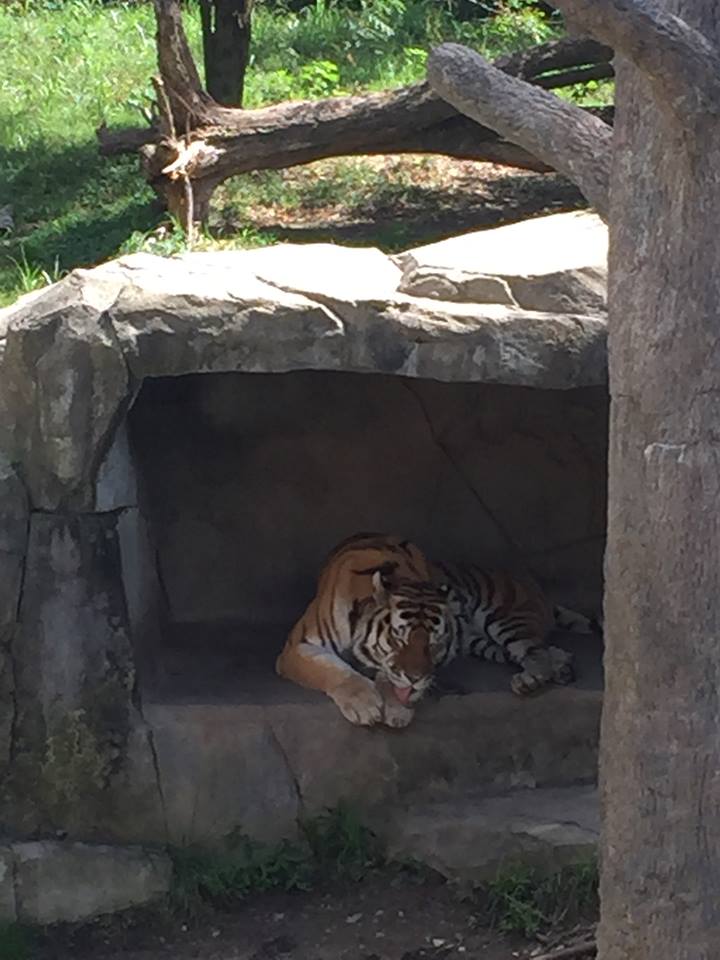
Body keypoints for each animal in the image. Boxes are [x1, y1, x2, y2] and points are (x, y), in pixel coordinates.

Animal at [276, 533, 454, 728]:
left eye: (434, 644)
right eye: (398, 639)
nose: (415, 679)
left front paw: (397, 708)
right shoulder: (297, 646)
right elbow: (332, 668)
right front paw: (364, 704)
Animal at [431, 560, 602, 696]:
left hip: (504, 619)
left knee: (535, 652)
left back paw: (527, 681)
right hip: (474, 641)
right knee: (523, 651)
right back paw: (562, 665)